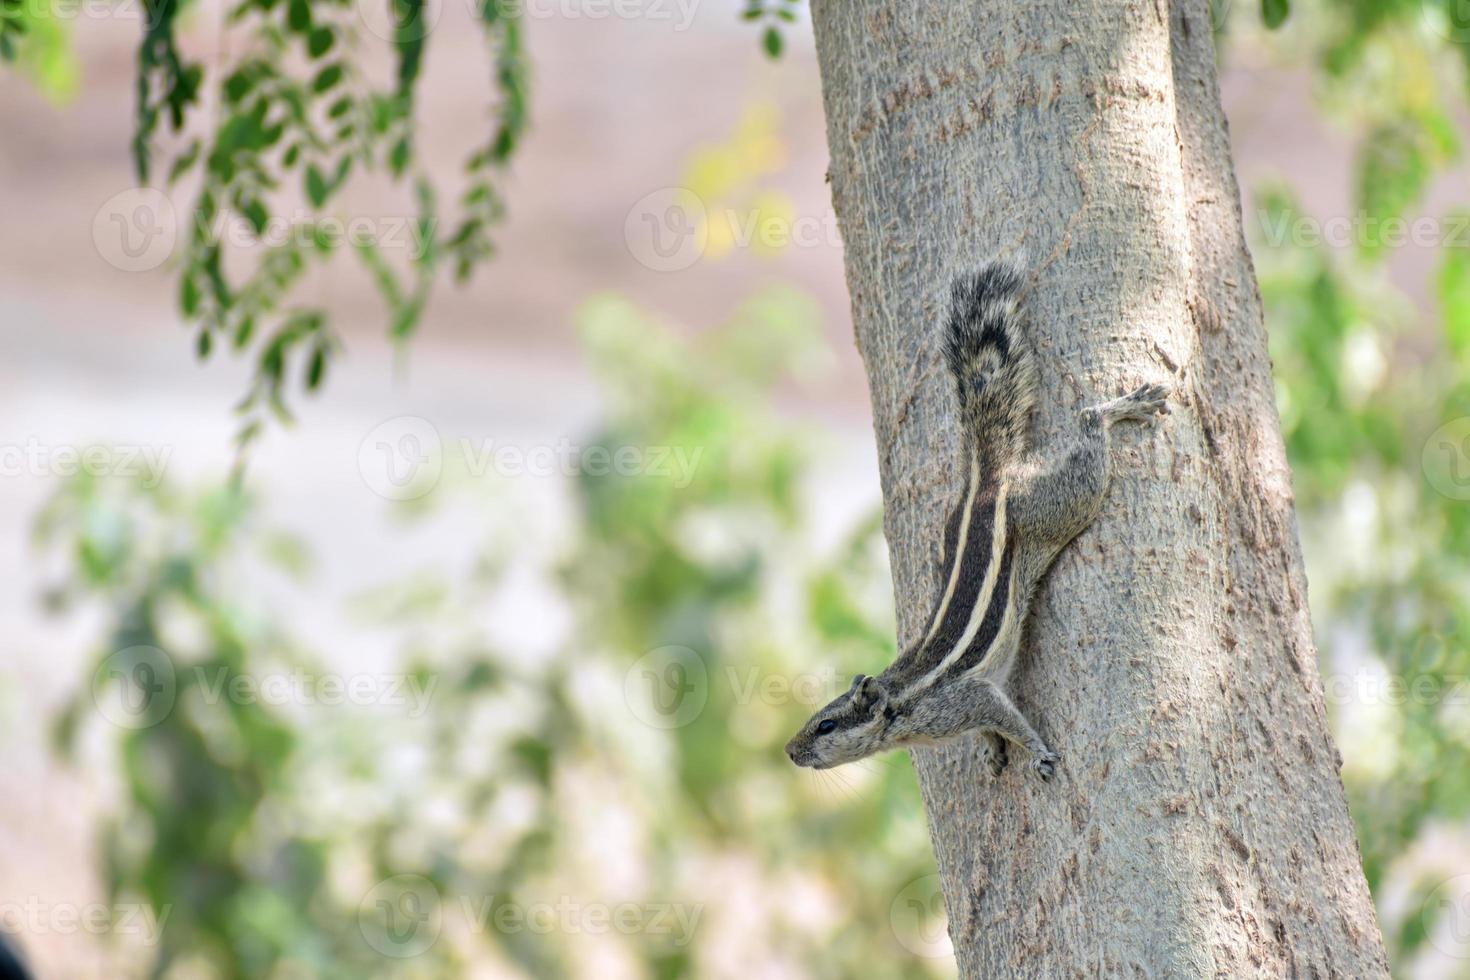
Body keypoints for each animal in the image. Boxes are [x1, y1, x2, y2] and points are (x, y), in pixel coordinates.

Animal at [787, 262, 1164, 781]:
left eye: (826, 725)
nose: (789, 750)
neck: (903, 705)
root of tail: (983, 481)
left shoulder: (965, 699)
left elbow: (1004, 713)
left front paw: (1035, 750)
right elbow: (991, 728)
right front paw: (992, 750)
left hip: (1056, 507)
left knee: (1088, 432)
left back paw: (1120, 408)